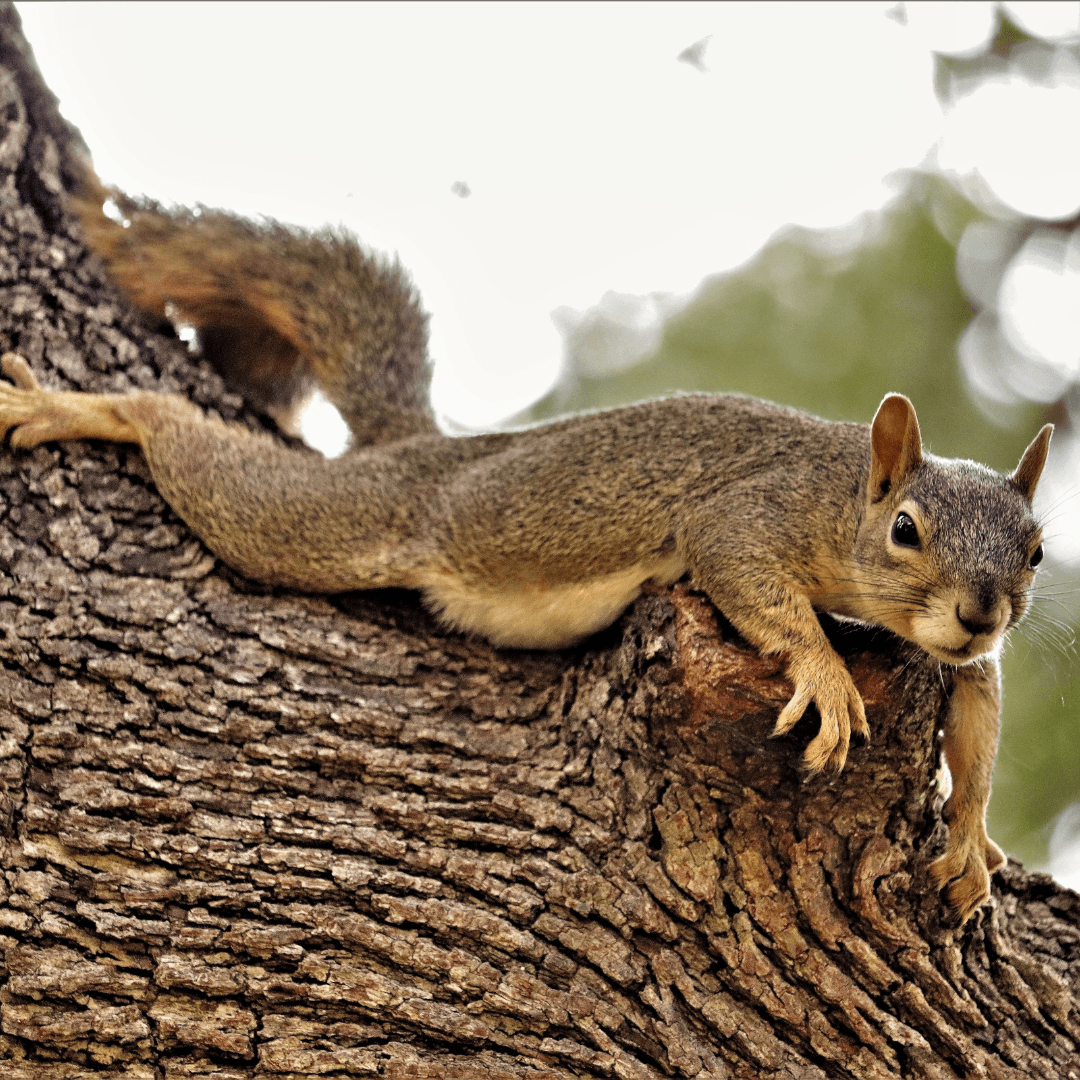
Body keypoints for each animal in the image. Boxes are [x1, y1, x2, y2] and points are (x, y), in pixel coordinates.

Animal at [0, 174, 1049, 920]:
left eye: (1037, 550)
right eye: (906, 530)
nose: (979, 612)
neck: (844, 495)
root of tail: (431, 450)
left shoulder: (955, 652)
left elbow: (979, 709)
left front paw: (970, 837)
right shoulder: (753, 514)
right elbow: (747, 574)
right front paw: (828, 672)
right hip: (350, 520)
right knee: (217, 473)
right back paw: (82, 407)